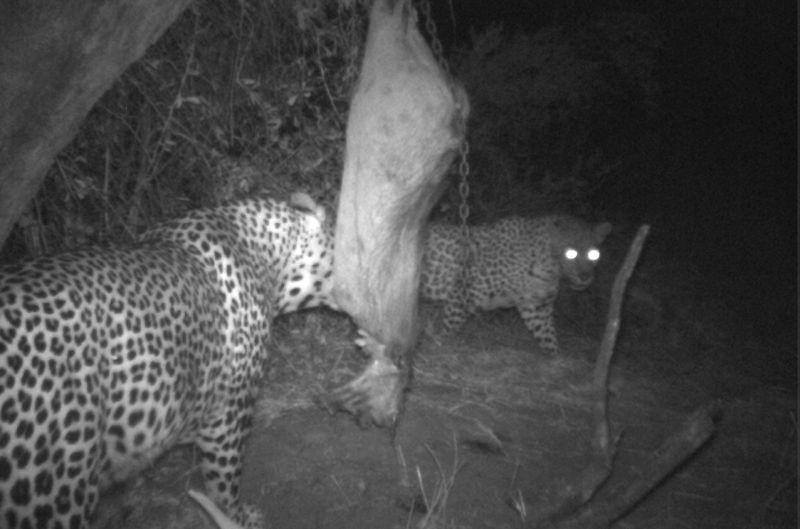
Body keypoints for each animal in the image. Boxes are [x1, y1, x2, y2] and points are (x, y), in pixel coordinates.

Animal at [420, 215, 612, 355]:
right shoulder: (462, 291)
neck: (550, 270)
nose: (585, 276)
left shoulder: (536, 306)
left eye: (594, 254)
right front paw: (442, 344)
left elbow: (547, 335)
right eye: (570, 253)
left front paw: (555, 357)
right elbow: (451, 325)